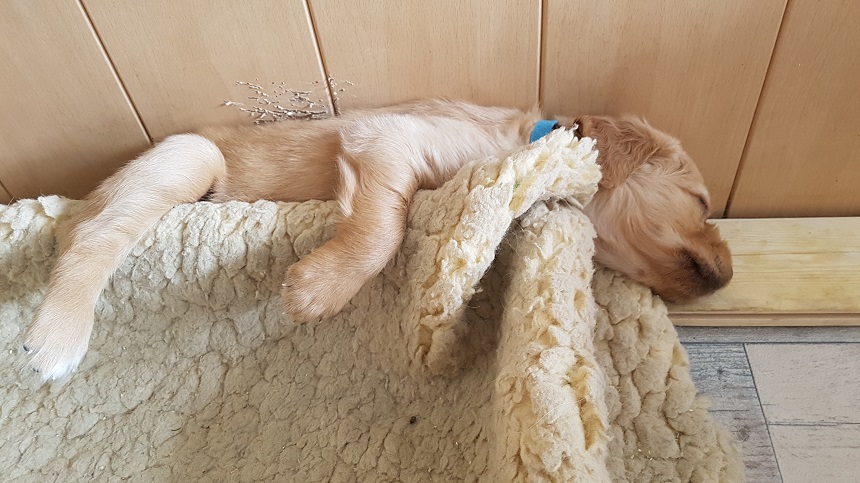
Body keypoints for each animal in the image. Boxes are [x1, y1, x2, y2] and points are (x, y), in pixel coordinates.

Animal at [22, 99, 732, 380]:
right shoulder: (386, 140)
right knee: (94, 234)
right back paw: (55, 337)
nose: (729, 275)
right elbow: (381, 229)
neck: (527, 137)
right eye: (701, 203)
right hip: (187, 158)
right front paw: (318, 289)